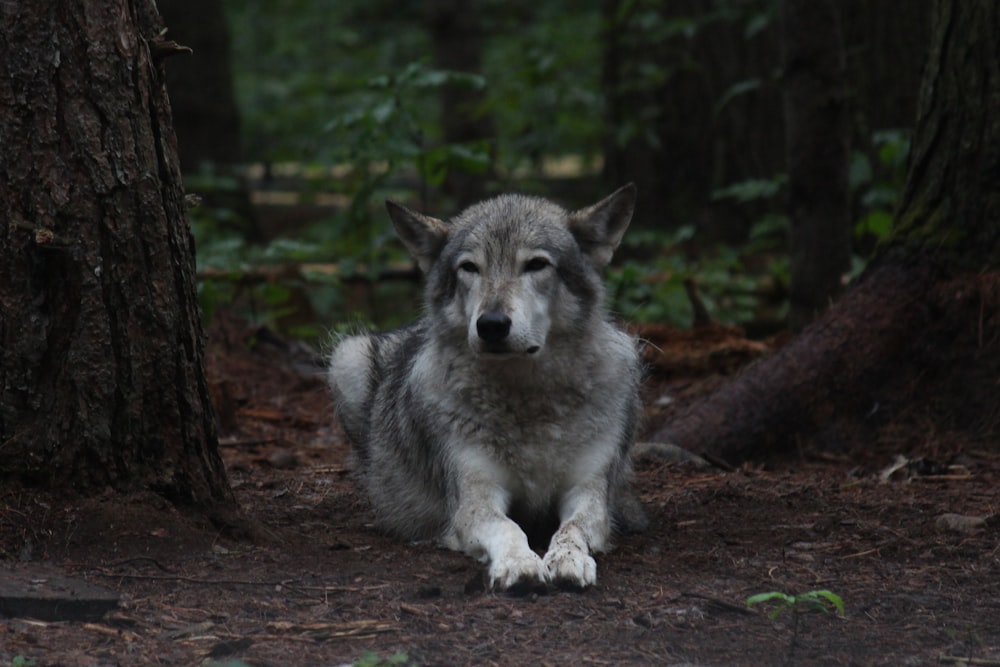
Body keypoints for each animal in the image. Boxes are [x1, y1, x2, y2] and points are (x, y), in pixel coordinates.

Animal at [324, 184, 644, 596]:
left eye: (536, 265)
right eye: (470, 268)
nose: (491, 324)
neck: (527, 400)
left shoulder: (587, 492)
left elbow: (571, 529)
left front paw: (567, 560)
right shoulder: (475, 496)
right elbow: (509, 528)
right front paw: (520, 564)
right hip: (346, 357)